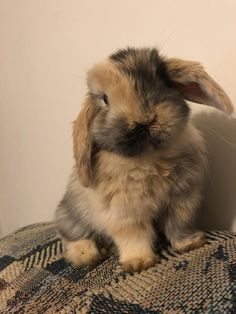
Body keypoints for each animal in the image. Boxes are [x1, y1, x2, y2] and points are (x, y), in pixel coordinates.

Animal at [54, 47, 233, 272]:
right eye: (105, 99)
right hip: (73, 219)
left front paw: (191, 243)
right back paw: (87, 254)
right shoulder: (126, 212)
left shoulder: (182, 201)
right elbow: (134, 236)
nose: (144, 119)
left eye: (162, 80)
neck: (151, 158)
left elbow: (179, 225)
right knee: (69, 238)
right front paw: (139, 263)